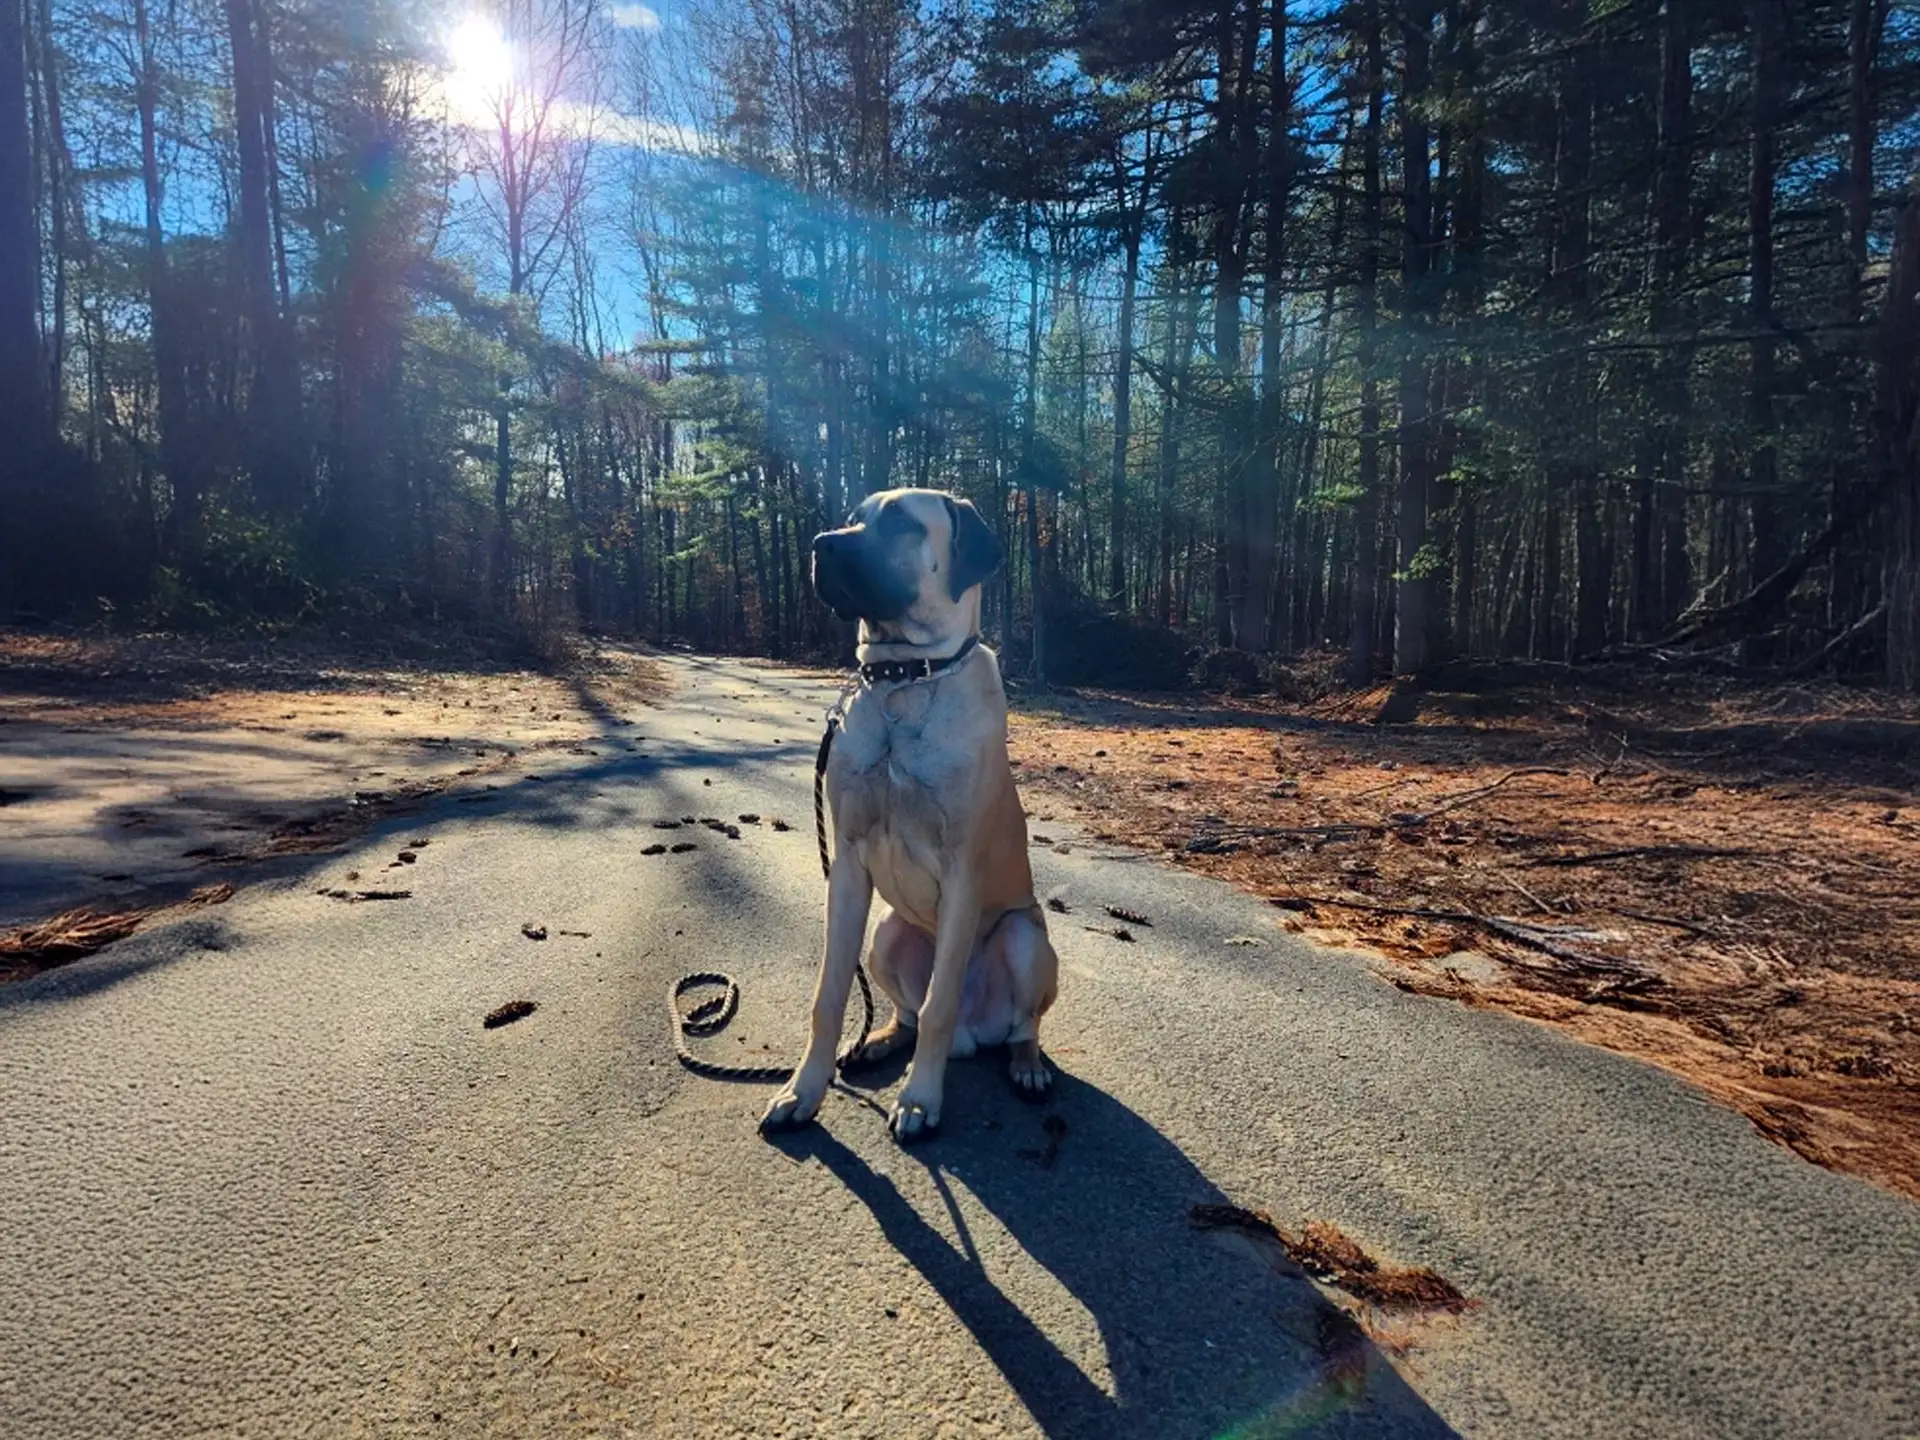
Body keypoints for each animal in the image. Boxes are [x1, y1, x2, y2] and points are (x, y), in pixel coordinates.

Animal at [760, 491, 1067, 1144]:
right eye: (856, 515)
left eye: (901, 520)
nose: (821, 543)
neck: (904, 680)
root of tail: (976, 1036)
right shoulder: (848, 864)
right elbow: (829, 996)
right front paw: (803, 1090)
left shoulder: (962, 874)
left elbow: (939, 1006)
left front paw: (920, 1100)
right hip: (888, 931)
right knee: (904, 1011)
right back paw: (876, 1042)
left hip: (1026, 936)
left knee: (1021, 1025)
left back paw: (1026, 1066)